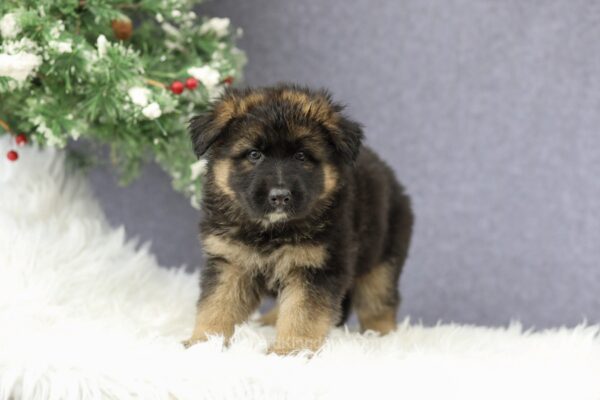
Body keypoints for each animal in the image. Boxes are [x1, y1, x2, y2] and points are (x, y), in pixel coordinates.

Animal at [185, 83, 414, 354]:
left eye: (302, 156)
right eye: (254, 154)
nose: (280, 197)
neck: (271, 231)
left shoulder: (316, 268)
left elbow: (302, 315)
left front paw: (288, 353)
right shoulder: (230, 261)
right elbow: (217, 305)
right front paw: (202, 343)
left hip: (382, 260)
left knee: (378, 302)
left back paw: (382, 337)